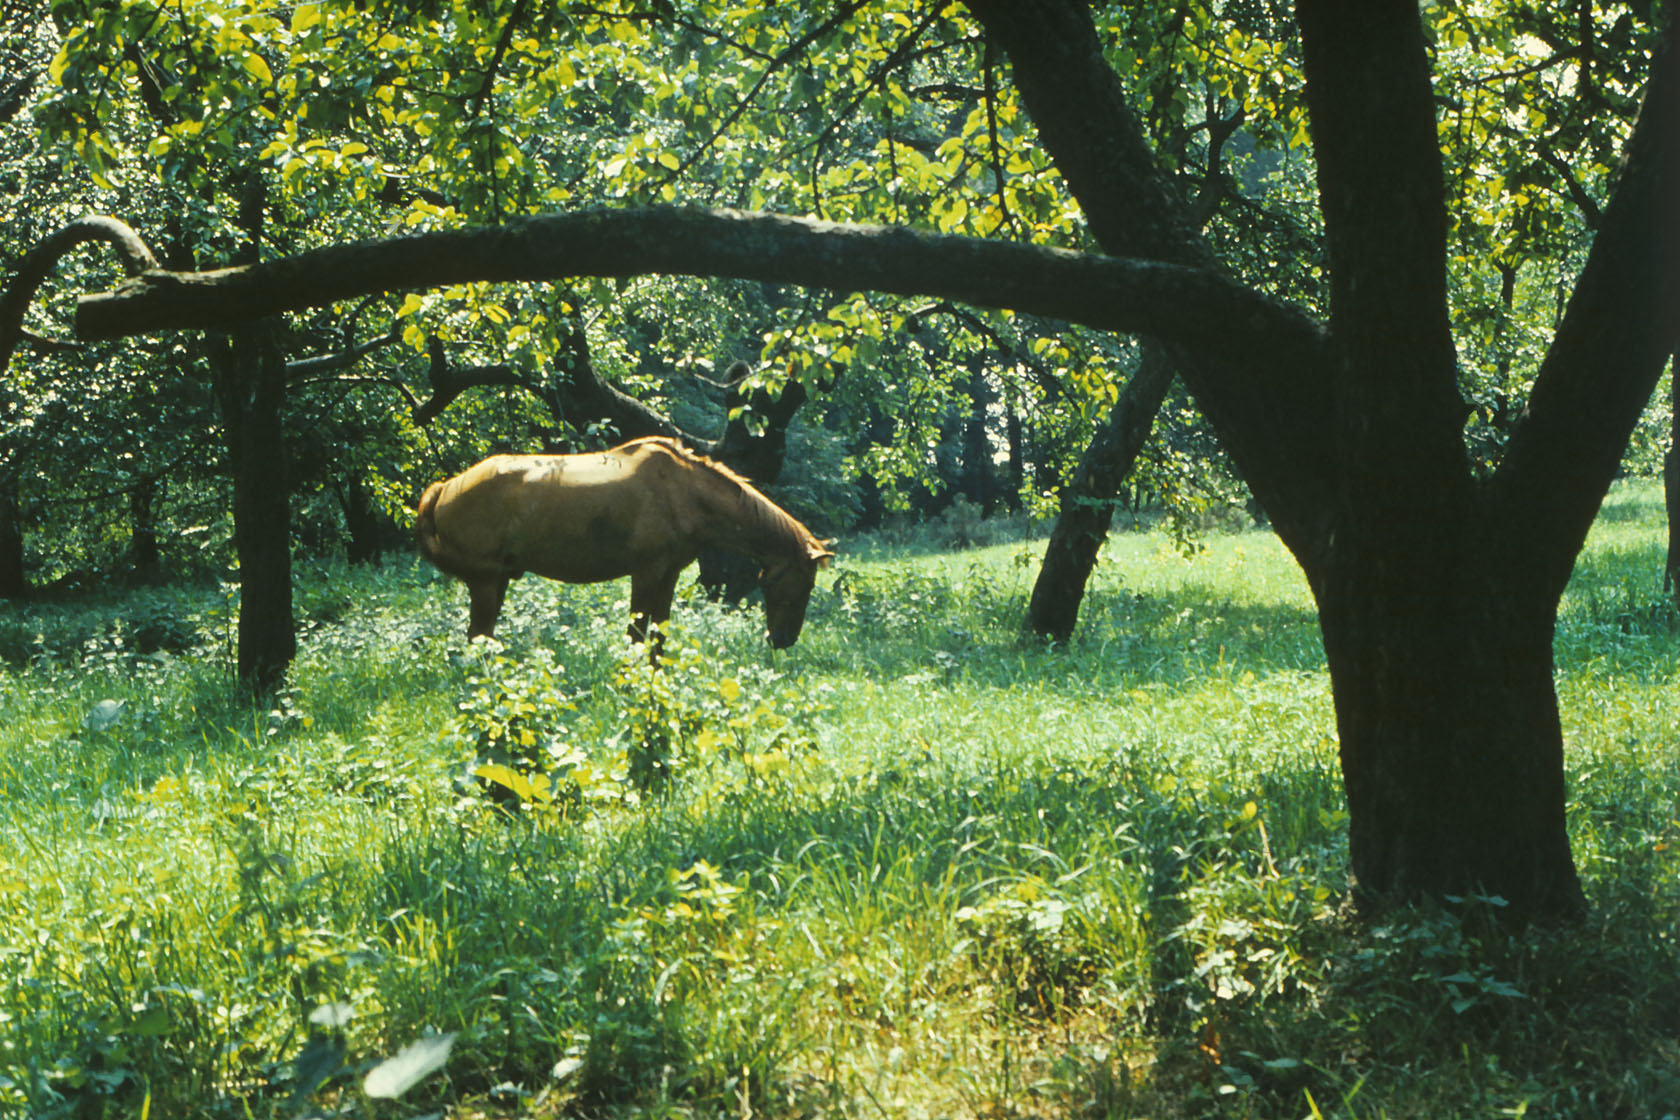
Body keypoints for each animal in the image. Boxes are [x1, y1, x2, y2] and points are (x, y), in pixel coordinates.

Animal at [413, 436, 833, 648]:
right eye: (805, 584)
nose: (783, 641)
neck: (685, 492)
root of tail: (444, 487)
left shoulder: (668, 576)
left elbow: (658, 637)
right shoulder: (645, 573)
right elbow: (637, 635)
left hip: (496, 582)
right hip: (486, 584)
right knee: (477, 640)